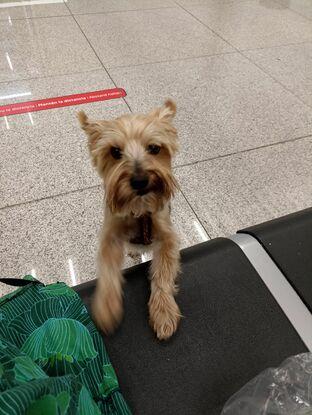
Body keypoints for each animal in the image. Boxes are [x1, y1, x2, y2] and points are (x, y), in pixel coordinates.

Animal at [77, 101, 180, 342]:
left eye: (154, 148)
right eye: (115, 152)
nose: (140, 181)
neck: (140, 209)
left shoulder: (168, 239)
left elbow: (163, 274)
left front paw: (163, 312)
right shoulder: (111, 237)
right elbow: (108, 271)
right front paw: (106, 307)